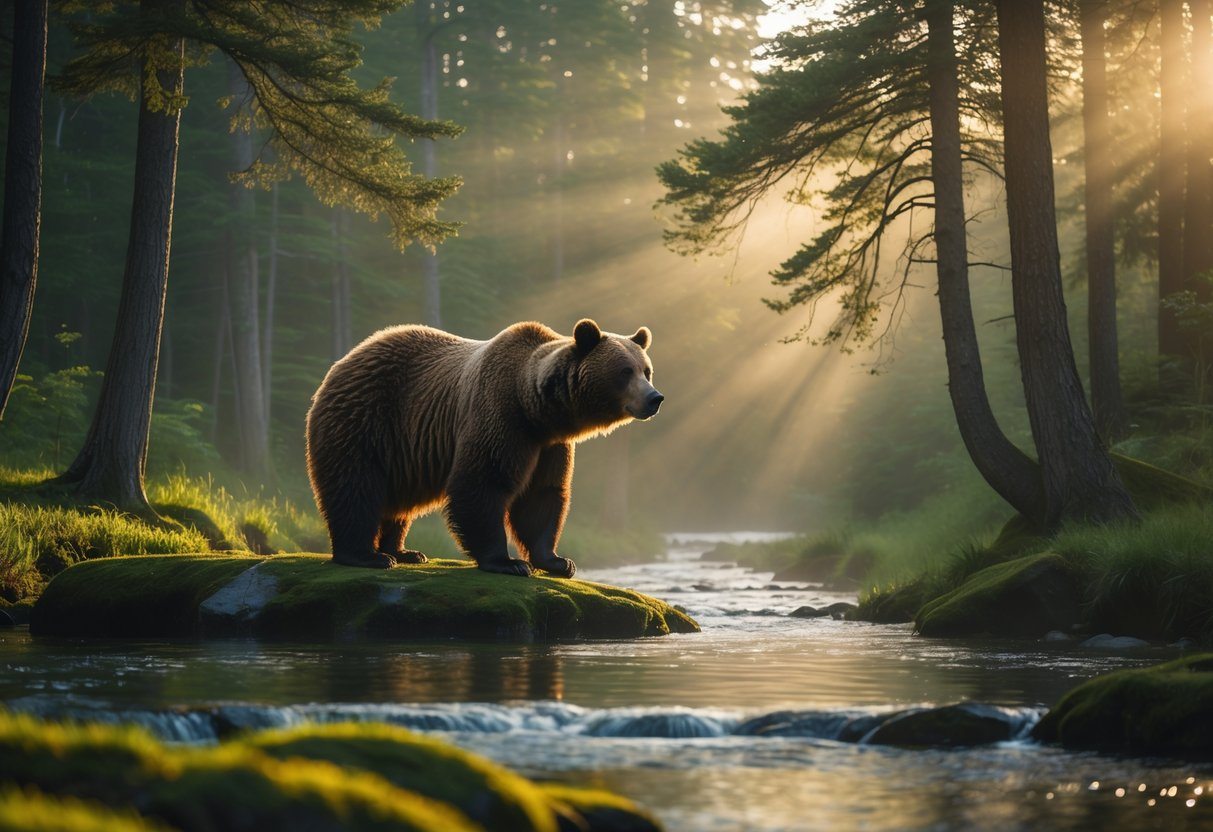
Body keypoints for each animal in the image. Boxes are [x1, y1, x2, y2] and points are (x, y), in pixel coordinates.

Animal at [305, 318, 663, 577]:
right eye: (625, 371)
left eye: (646, 370)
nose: (655, 398)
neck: (535, 408)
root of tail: (342, 362)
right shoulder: (499, 416)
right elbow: (483, 482)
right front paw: (509, 562)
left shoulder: (549, 445)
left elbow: (542, 494)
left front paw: (558, 561)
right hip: (365, 421)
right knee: (355, 486)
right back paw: (367, 555)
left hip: (402, 451)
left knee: (398, 501)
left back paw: (404, 551)